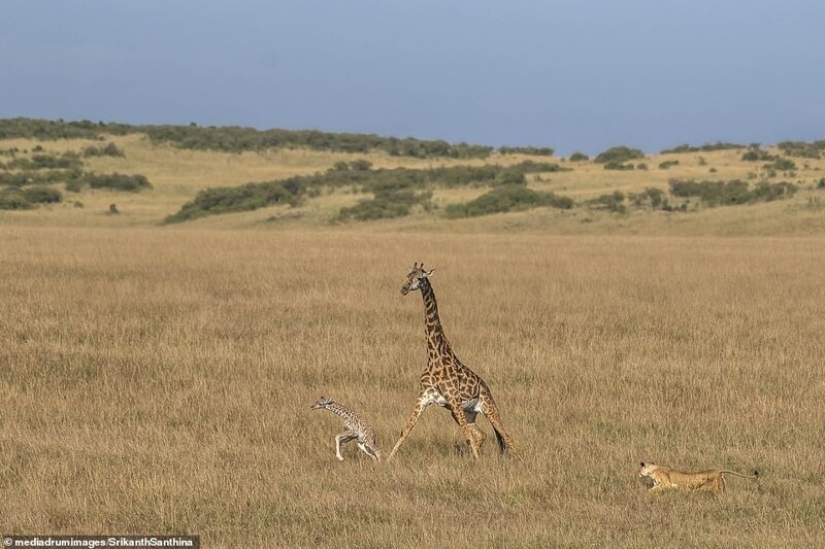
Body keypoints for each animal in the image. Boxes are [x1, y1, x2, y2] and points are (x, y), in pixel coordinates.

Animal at [387, 262, 517, 460]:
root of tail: (487, 388)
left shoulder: (453, 399)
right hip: (467, 413)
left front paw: (478, 463)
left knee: (506, 436)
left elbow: (467, 436)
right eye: (407, 275)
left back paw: (520, 460)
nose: (403, 289)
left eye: (420, 278)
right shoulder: (424, 397)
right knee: (481, 435)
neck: (434, 356)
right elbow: (405, 430)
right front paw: (386, 460)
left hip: (489, 408)